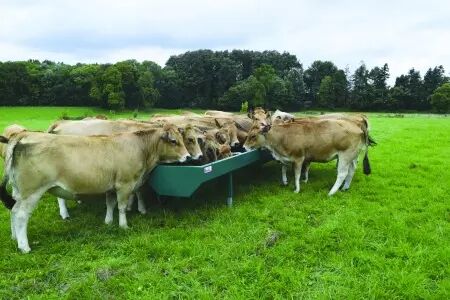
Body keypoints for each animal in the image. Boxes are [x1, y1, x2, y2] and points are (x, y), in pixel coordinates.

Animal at [0, 124, 190, 253]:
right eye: (174, 141)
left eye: (182, 140)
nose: (188, 157)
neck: (139, 147)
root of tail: (23, 135)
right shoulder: (125, 184)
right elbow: (121, 207)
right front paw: (123, 226)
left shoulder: (111, 186)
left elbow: (110, 204)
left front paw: (108, 222)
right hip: (31, 192)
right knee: (21, 215)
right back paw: (24, 246)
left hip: (18, 192)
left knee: (13, 210)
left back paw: (14, 237)